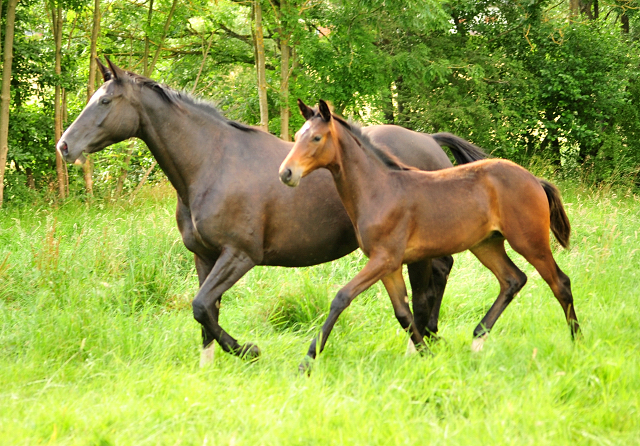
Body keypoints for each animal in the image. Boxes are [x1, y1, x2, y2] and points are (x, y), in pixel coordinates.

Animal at [58, 58, 484, 366]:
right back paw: (431, 336)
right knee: (438, 274)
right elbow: (206, 312)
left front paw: (248, 351)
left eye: (105, 101)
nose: (64, 146)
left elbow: (201, 306)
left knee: (426, 286)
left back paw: (421, 344)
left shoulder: (239, 256)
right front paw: (208, 366)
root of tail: (429, 141)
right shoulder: (203, 256)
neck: (212, 163)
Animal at [280, 100, 580, 370]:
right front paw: (427, 354)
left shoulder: (384, 259)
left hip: (529, 242)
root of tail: (534, 180)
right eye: (297, 136)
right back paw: (477, 339)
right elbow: (403, 313)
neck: (380, 190)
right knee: (512, 280)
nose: (286, 173)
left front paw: (307, 361)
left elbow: (341, 298)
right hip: (486, 245)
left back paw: (577, 341)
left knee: (560, 283)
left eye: (316, 137)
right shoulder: (389, 266)